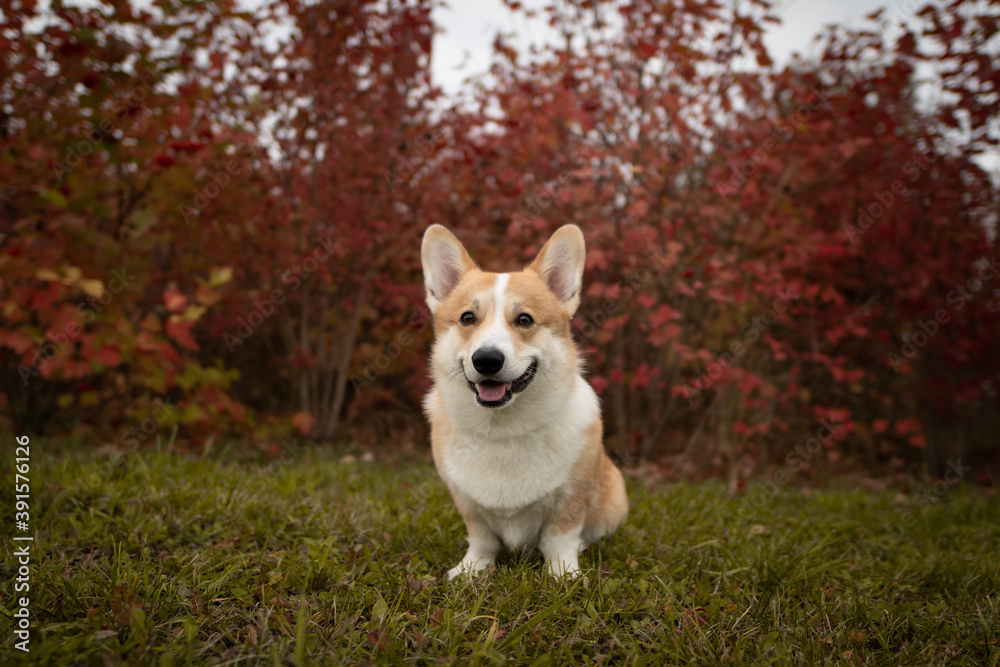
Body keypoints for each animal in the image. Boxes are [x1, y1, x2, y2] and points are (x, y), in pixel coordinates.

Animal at [420, 224, 624, 580]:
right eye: (467, 318)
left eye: (525, 320)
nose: (486, 360)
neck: (503, 429)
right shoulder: (467, 503)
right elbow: (481, 538)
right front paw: (471, 570)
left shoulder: (571, 500)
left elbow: (559, 538)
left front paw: (563, 575)